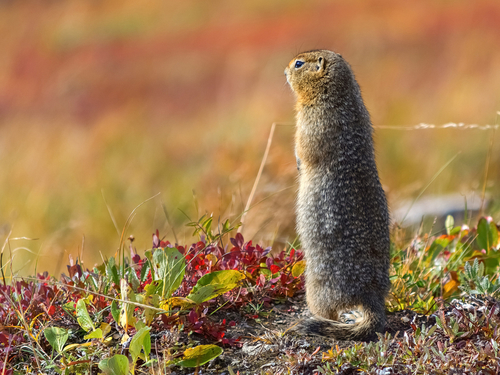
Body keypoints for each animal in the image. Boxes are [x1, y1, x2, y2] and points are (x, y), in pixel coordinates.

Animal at [286, 48, 390, 342]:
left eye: (299, 64)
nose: (284, 70)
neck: (340, 94)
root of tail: (371, 295)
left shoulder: (312, 120)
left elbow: (304, 146)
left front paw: (298, 162)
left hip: (316, 289)